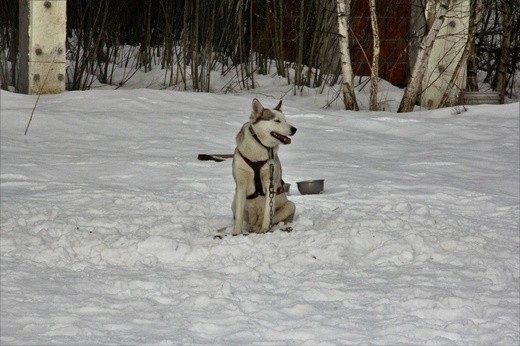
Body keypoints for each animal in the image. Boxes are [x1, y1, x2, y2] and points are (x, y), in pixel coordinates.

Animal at [232, 98, 296, 237]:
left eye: (285, 120)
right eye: (277, 121)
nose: (294, 129)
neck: (259, 148)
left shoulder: (270, 183)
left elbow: (268, 212)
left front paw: (265, 229)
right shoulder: (241, 184)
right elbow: (239, 216)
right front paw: (236, 234)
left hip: (290, 205)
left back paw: (261, 228)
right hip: (233, 202)